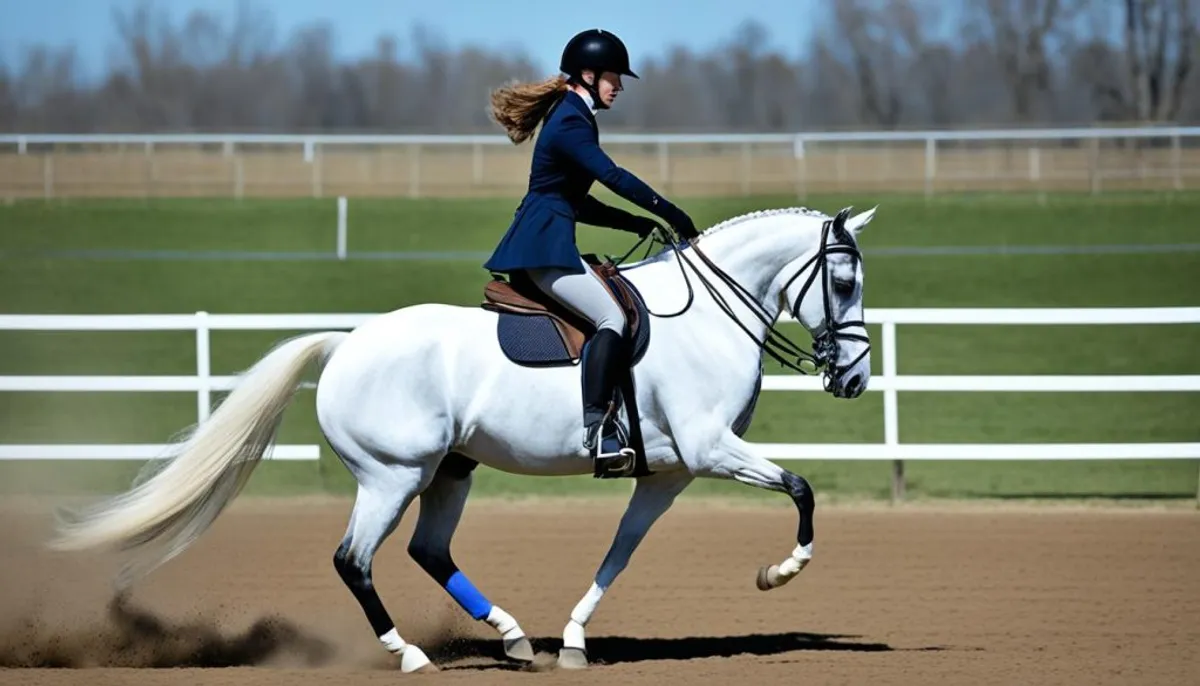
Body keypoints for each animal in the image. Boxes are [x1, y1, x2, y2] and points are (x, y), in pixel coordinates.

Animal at [49, 203, 873, 671]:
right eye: (843, 284)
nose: (856, 380)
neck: (705, 316)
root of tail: (345, 345)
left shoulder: (667, 473)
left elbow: (620, 553)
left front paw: (574, 640)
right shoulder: (709, 452)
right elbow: (802, 488)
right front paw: (780, 572)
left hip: (450, 470)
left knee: (428, 551)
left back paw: (511, 637)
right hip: (392, 476)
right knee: (354, 561)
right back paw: (410, 655)